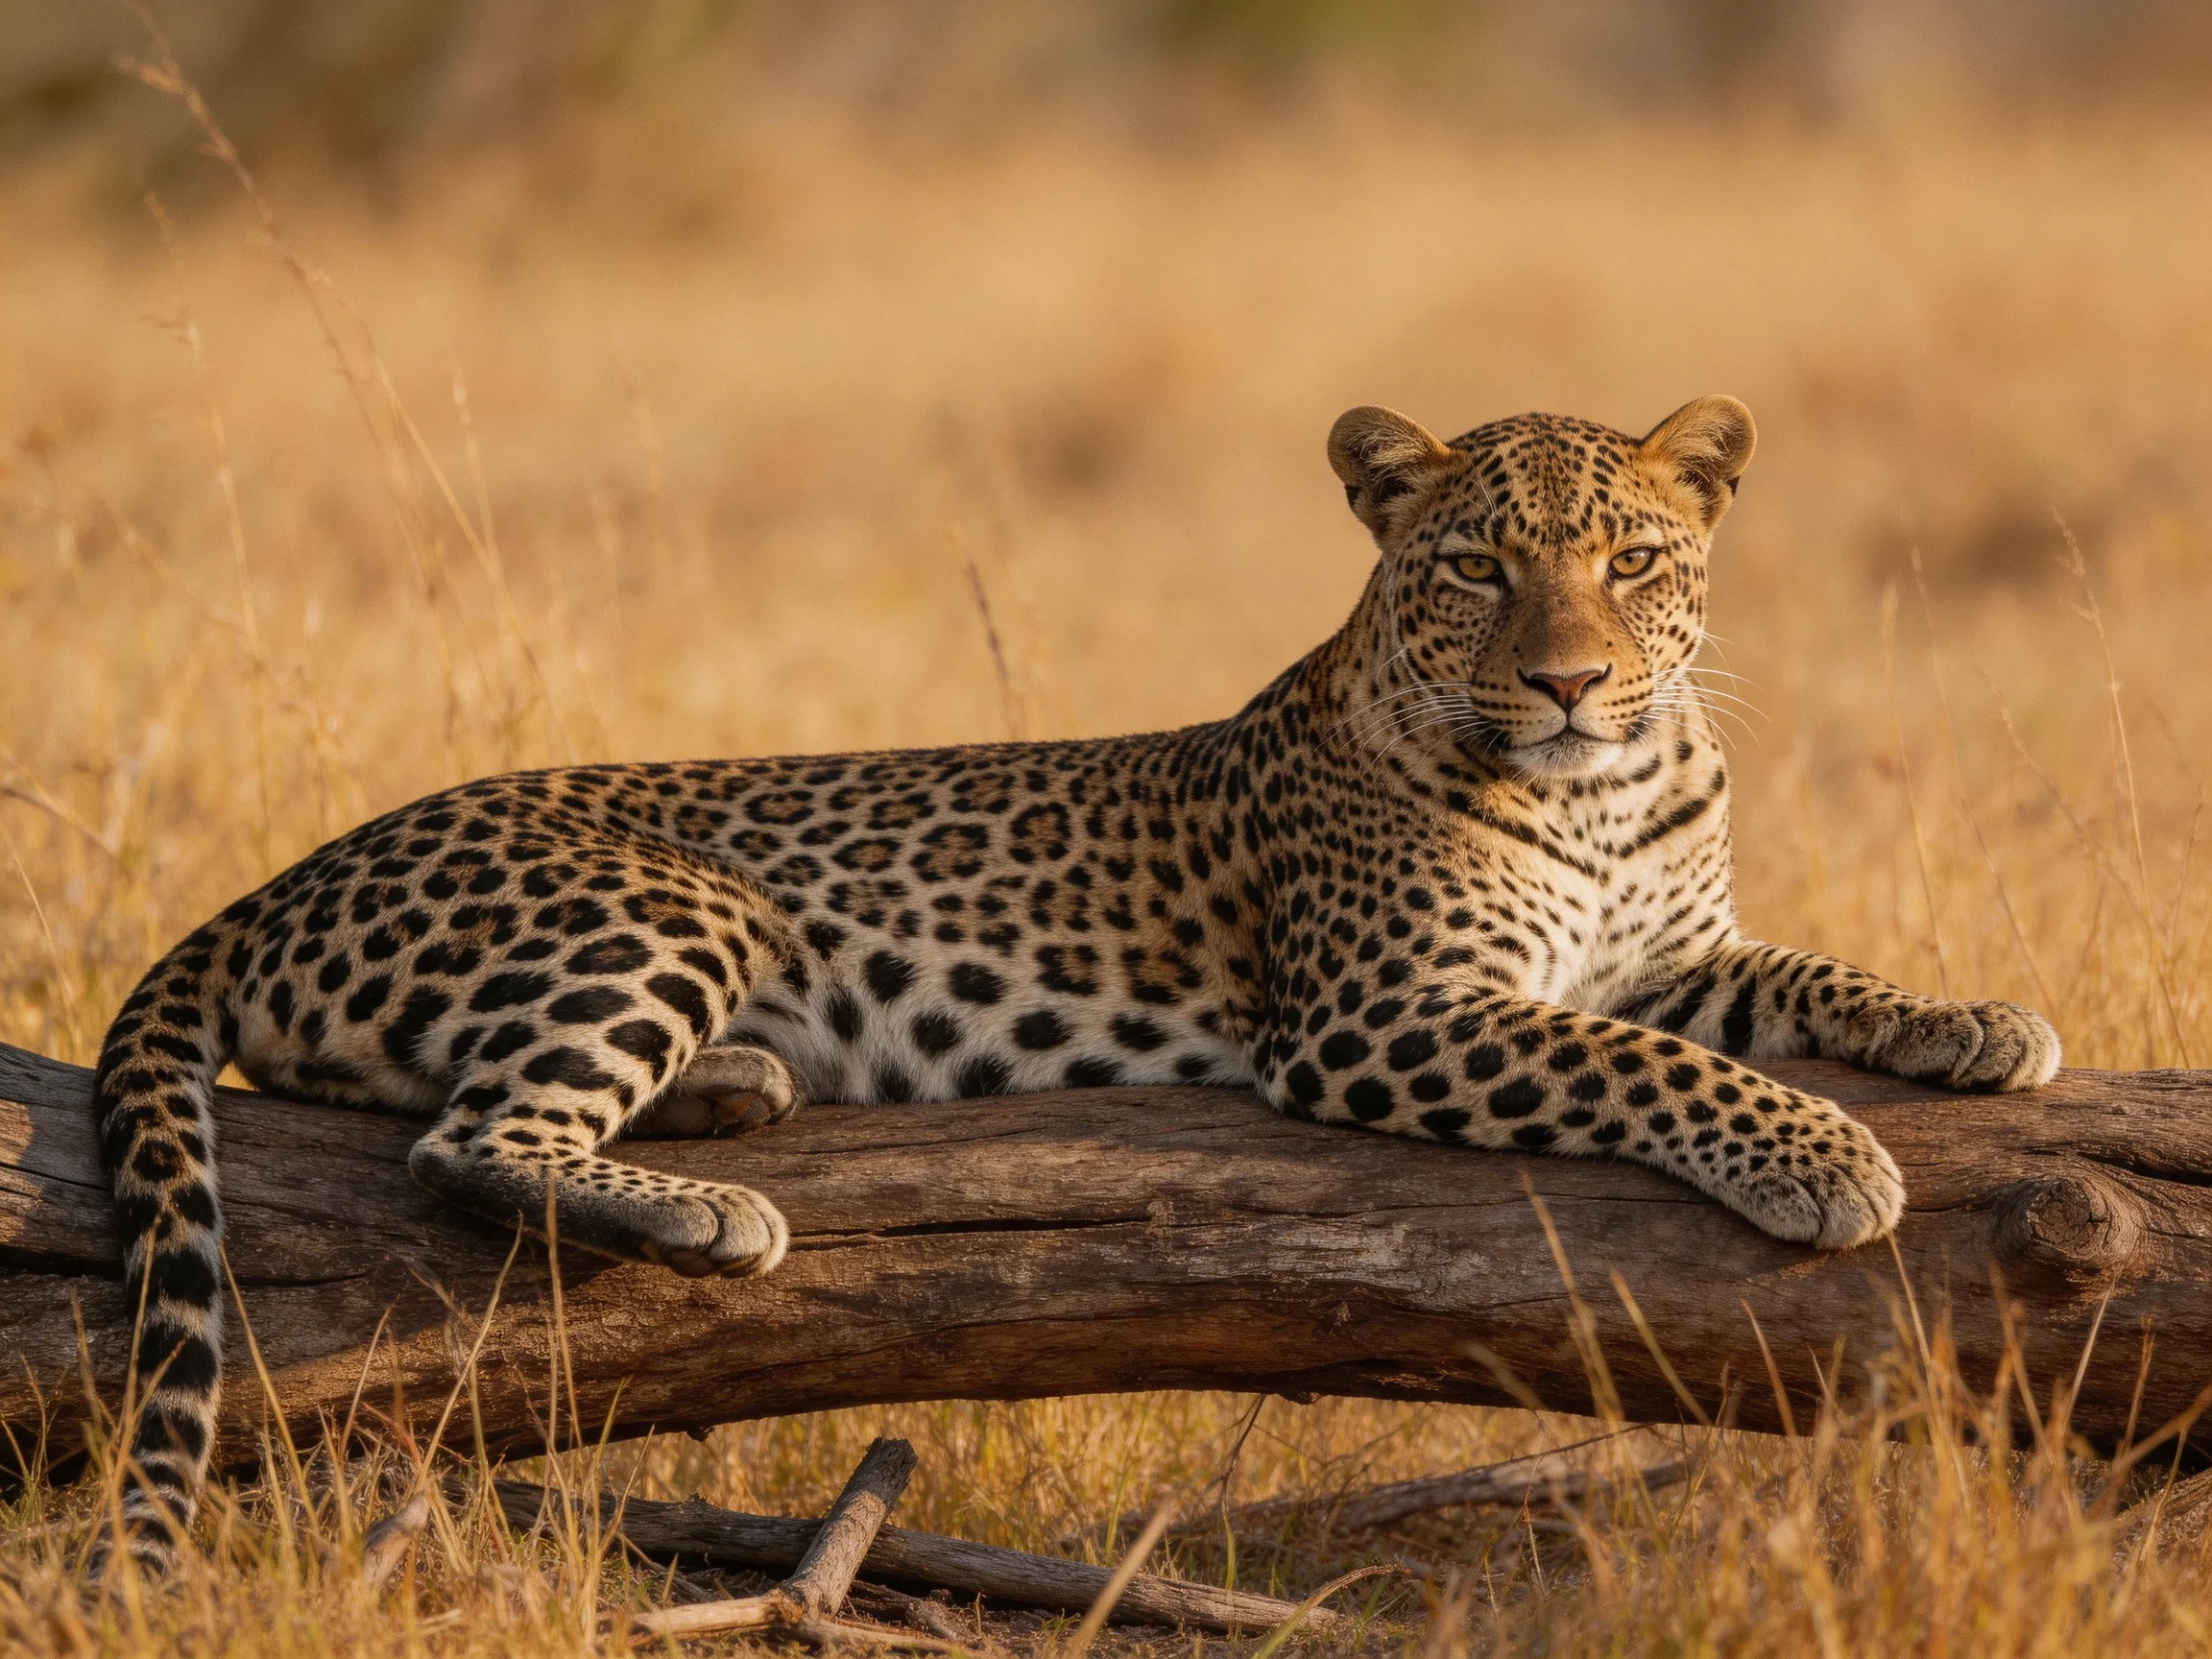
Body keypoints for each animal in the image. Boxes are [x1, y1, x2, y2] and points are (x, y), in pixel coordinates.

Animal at [88, 394, 2059, 1573]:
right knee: (472, 1133)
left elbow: (1801, 976)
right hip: (667, 904)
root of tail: (278, 878)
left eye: (1632, 561)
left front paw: (1978, 1023)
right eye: (1476, 567)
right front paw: (1830, 1160)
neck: (1603, 785)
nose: (1569, 680)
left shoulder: (1677, 953)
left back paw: (738, 1089)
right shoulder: (1390, 1014)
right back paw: (711, 1201)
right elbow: (1658, 1073)